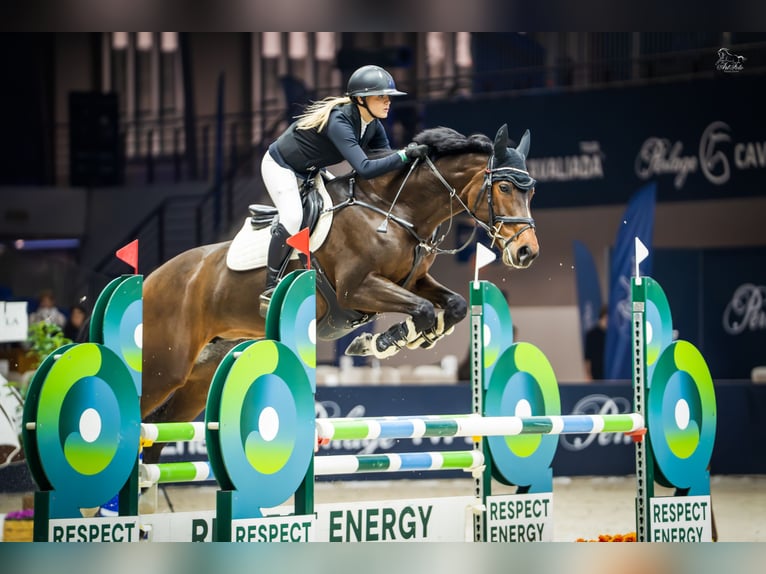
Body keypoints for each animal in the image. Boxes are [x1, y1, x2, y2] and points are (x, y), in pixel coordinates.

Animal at [140, 123, 540, 463]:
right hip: (165, 367)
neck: (395, 211)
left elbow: (453, 305)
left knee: (158, 435)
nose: (526, 253)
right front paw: (385, 341)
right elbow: (424, 309)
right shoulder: (356, 289)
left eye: (531, 190)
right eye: (504, 188)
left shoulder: (411, 280)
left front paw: (415, 337)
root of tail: (151, 279)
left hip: (200, 376)